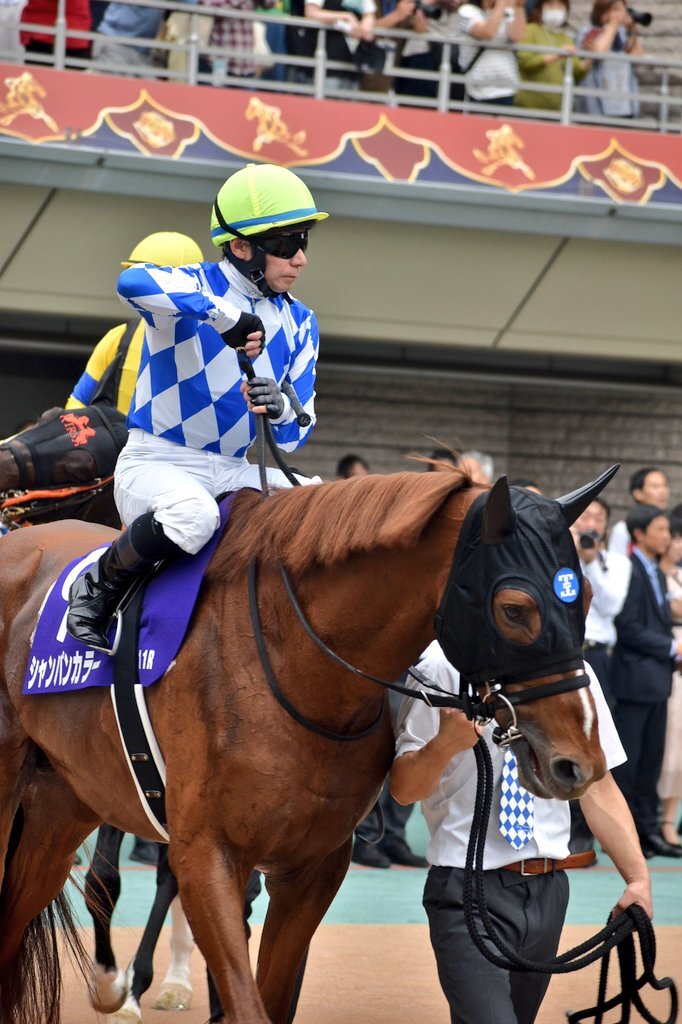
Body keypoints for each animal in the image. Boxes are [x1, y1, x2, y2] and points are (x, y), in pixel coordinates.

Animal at [0, 466, 613, 1024]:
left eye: (583, 599)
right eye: (514, 608)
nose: (578, 761)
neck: (291, 664)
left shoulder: (312, 866)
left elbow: (269, 996)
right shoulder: (206, 852)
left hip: (65, 802)